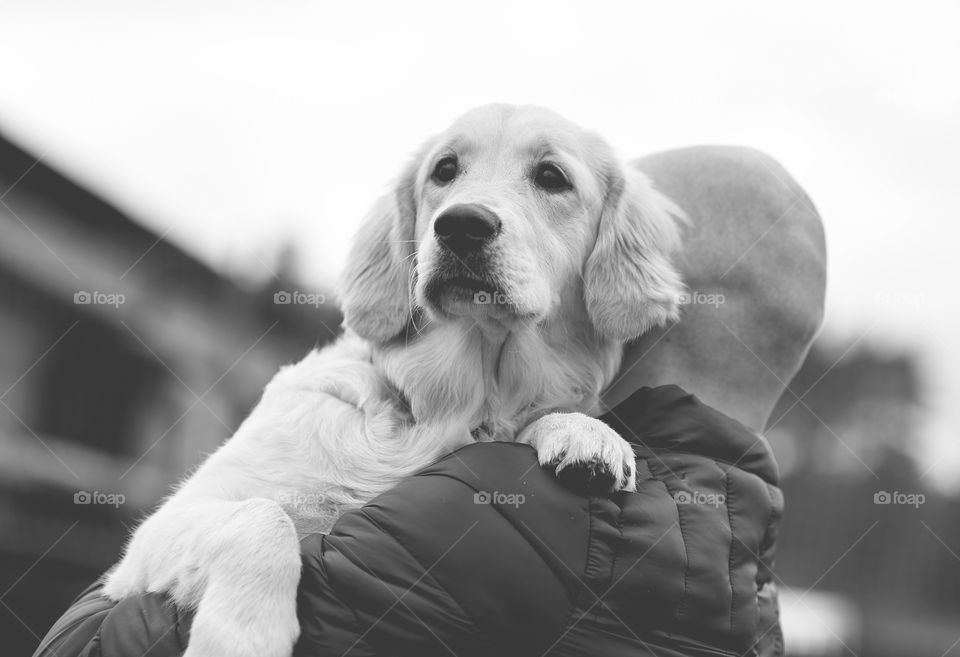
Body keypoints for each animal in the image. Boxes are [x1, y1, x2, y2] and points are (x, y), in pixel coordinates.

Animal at [101, 105, 688, 656]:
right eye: (444, 169)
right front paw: (243, 638)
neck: (454, 400)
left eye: (551, 176)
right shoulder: (160, 533)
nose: (461, 225)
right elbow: (262, 516)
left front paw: (583, 432)